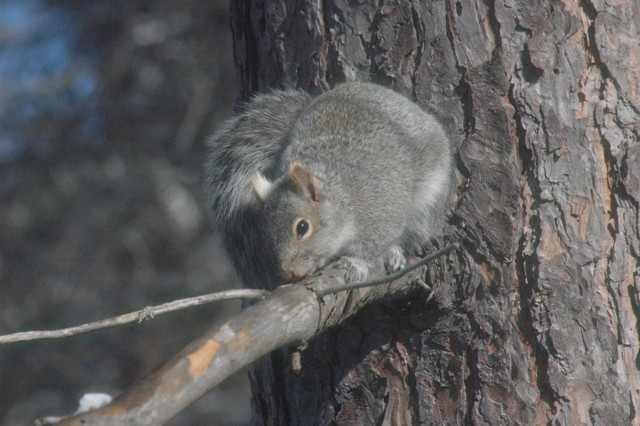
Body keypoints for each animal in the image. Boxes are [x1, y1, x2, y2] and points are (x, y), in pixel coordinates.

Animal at [204, 82, 452, 289]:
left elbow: (372, 246)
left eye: (302, 227)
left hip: (428, 204)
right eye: (265, 232)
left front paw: (356, 263)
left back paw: (394, 252)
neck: (340, 196)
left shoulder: (381, 211)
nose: (288, 273)